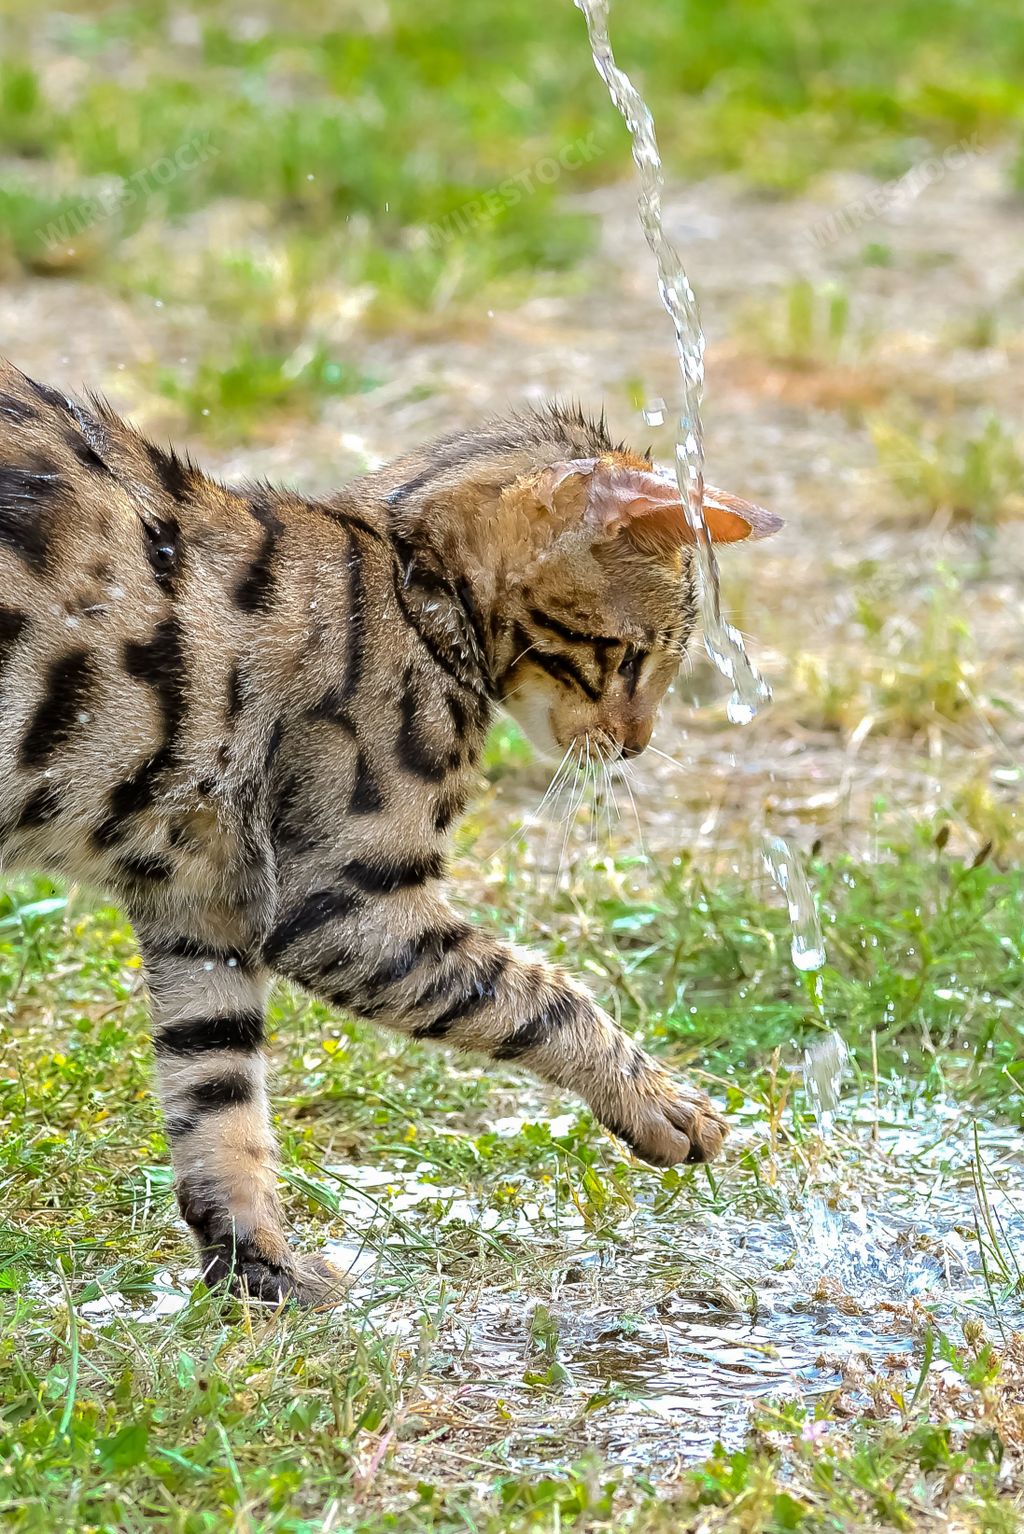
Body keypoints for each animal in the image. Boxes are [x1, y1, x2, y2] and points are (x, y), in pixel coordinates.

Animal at [0, 362, 775, 1306]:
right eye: (634, 655)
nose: (636, 742)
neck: (410, 587)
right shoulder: (337, 897)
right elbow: (541, 992)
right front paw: (658, 1101)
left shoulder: (203, 908)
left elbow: (216, 1094)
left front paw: (263, 1272)